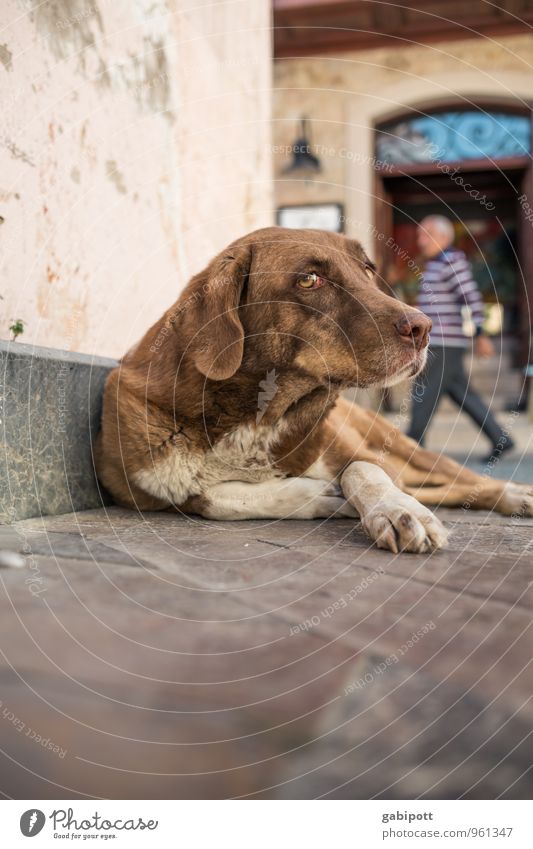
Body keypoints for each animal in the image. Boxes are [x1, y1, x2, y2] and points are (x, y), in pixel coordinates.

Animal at [93, 229, 528, 552]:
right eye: (309, 279)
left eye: (367, 270)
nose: (423, 328)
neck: (257, 416)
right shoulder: (135, 483)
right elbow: (212, 498)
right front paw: (316, 494)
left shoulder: (359, 454)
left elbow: (362, 468)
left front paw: (397, 510)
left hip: (408, 453)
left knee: (464, 480)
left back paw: (518, 495)